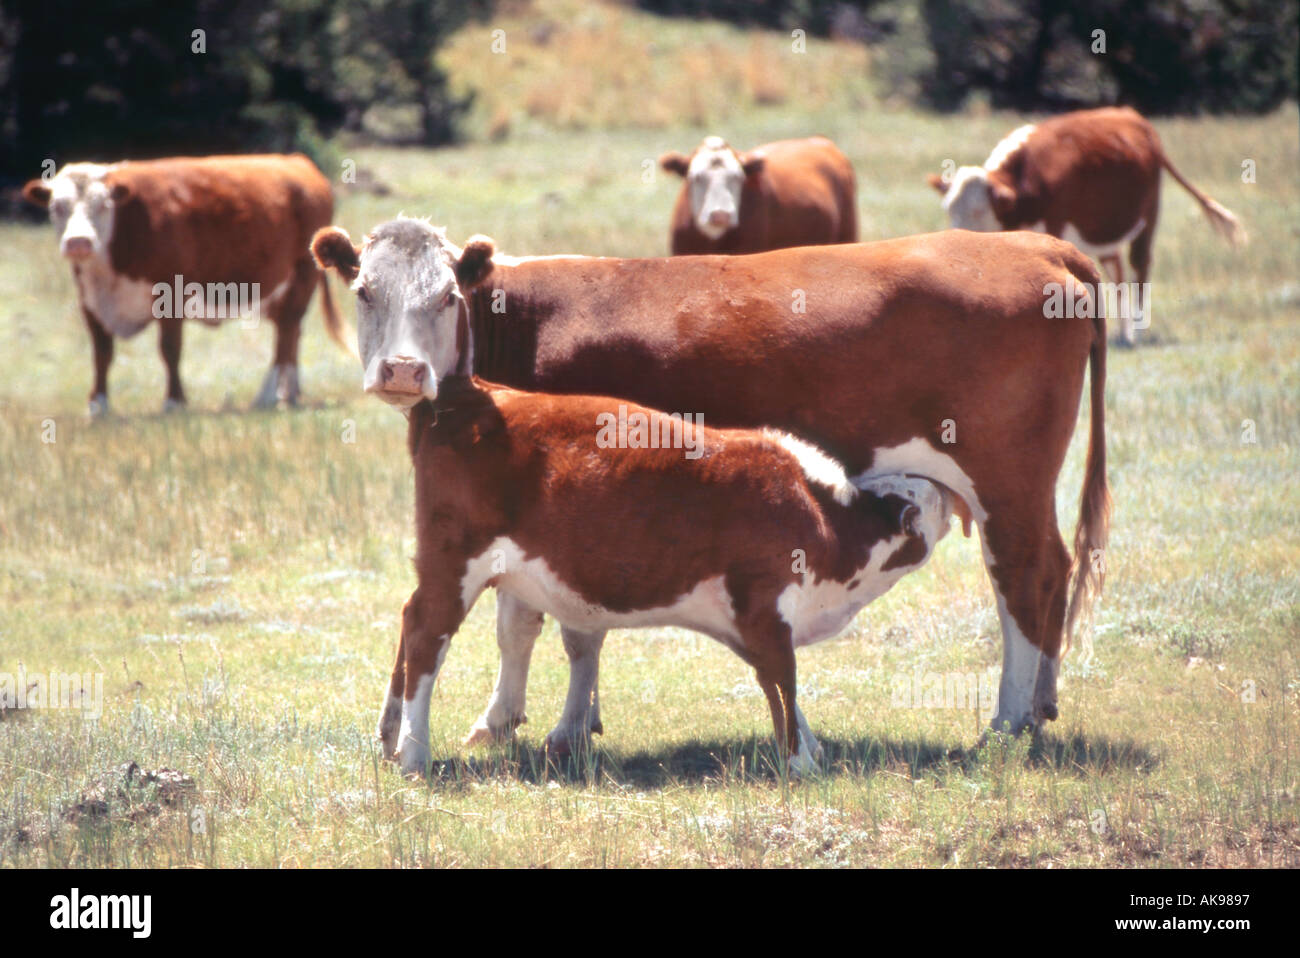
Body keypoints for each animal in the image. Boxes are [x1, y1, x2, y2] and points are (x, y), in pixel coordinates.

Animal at [22, 154, 352, 415]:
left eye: (102, 205)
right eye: (56, 207)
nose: (78, 242)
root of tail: (296, 160)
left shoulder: (170, 294)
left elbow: (170, 349)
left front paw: (174, 402)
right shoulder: (90, 301)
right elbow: (102, 352)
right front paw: (98, 406)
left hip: (301, 276)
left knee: (285, 332)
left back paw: (268, 396)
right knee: (292, 332)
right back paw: (290, 393)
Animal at [311, 217, 1109, 755]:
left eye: (447, 296)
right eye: (364, 291)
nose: (403, 371)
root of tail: (1033, 243)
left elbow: (540, 625)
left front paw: (527, 723)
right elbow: (553, 623)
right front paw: (561, 722)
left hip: (1006, 485)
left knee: (1026, 579)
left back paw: (1005, 724)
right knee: (1053, 574)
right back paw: (1041, 704)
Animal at [927, 106, 1247, 345]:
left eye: (979, 210)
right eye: (948, 208)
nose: (954, 240)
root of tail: (1132, 116)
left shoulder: (1054, 228)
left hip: (1147, 219)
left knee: (1139, 268)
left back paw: (1138, 331)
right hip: (1106, 234)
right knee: (1117, 274)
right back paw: (1123, 334)